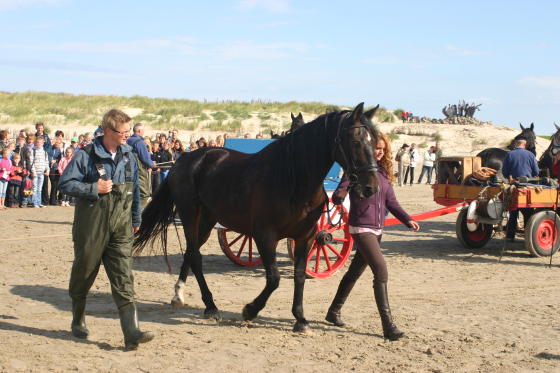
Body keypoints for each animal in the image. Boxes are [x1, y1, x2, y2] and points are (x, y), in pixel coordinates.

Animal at [135, 102, 380, 332]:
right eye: (355, 141)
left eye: (375, 142)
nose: (371, 187)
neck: (293, 179)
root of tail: (185, 159)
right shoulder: (265, 236)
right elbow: (274, 278)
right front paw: (250, 310)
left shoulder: (307, 236)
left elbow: (299, 275)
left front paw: (300, 319)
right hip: (190, 215)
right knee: (195, 256)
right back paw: (211, 306)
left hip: (206, 220)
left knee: (190, 252)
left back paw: (179, 294)